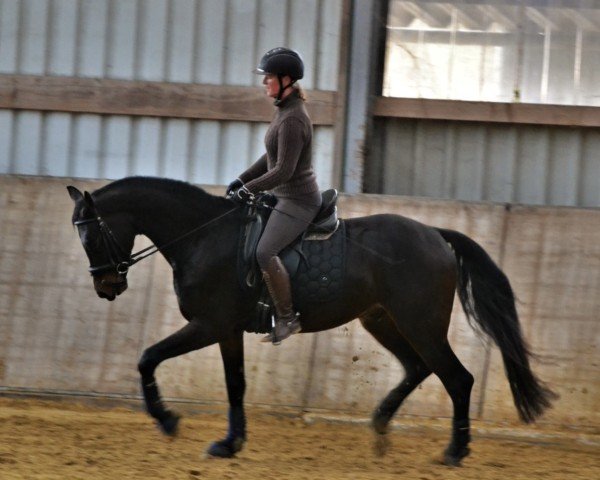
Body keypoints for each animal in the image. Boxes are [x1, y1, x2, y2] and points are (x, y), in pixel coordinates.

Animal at [68, 176, 556, 464]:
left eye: (91, 236)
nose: (106, 286)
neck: (203, 237)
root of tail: (435, 235)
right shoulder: (227, 331)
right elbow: (235, 384)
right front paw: (230, 443)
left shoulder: (209, 325)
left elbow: (147, 358)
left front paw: (168, 421)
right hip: (382, 321)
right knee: (418, 368)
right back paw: (381, 428)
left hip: (421, 324)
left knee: (457, 378)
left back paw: (455, 451)